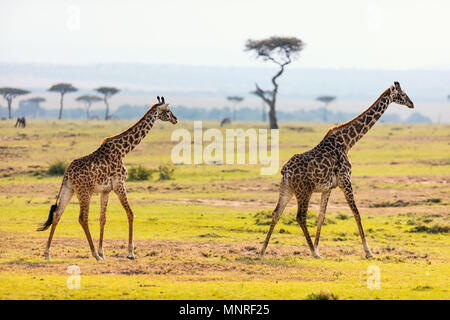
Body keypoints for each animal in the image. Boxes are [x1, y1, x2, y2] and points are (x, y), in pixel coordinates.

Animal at [37, 96, 178, 262]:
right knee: (82, 218)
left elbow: (102, 219)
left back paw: (48, 254)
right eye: (168, 110)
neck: (123, 150)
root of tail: (68, 173)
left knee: (57, 214)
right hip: (84, 192)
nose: (176, 119)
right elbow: (130, 213)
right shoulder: (119, 184)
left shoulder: (106, 190)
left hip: (68, 190)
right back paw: (94, 255)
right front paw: (130, 253)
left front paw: (103, 252)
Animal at [260, 82, 414, 258]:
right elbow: (356, 213)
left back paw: (263, 250)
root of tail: (286, 170)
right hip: (304, 191)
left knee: (276, 213)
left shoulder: (328, 188)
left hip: (287, 189)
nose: (412, 104)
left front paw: (318, 247)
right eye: (403, 94)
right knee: (300, 217)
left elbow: (321, 216)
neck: (348, 142)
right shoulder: (345, 180)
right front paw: (368, 252)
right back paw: (312, 252)